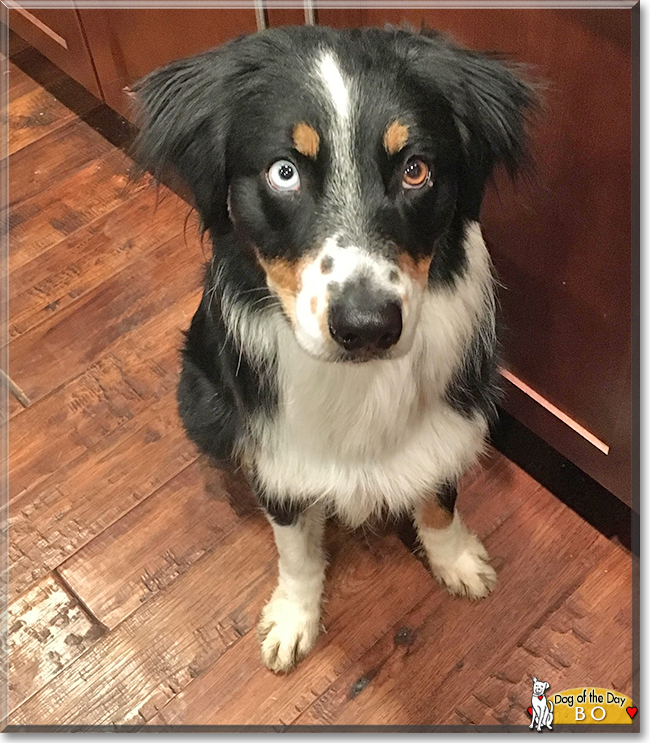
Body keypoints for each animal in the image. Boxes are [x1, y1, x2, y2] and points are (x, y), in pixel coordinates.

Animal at [132, 24, 532, 676]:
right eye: (284, 172)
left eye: (416, 170)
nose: (367, 327)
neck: (358, 380)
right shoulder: (278, 453)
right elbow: (295, 548)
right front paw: (294, 618)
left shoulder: (452, 421)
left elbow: (440, 499)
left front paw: (455, 560)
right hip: (201, 403)